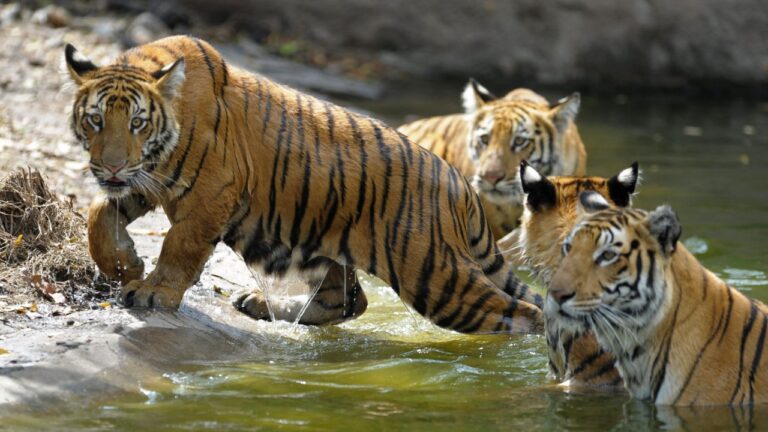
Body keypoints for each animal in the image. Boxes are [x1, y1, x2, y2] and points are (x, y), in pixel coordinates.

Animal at [65, 35, 544, 334]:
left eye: (138, 123)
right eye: (96, 120)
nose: (110, 167)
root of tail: (461, 182)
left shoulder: (211, 192)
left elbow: (179, 246)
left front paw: (152, 292)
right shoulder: (144, 179)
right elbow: (99, 215)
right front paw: (124, 265)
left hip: (435, 273)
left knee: (523, 312)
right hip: (324, 247)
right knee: (349, 300)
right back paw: (260, 305)